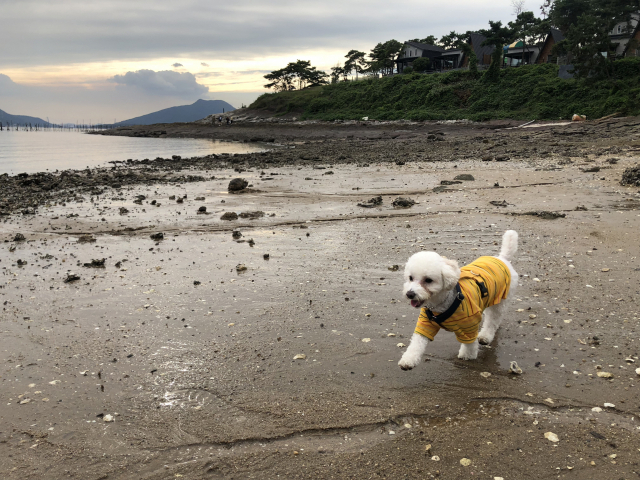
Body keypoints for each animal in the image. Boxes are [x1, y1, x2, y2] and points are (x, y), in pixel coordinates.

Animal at [398, 231, 516, 370]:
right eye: (411, 278)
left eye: (428, 280)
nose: (410, 294)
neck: (440, 305)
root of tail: (502, 258)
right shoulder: (425, 324)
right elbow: (417, 342)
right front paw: (408, 359)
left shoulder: (469, 325)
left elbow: (469, 343)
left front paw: (467, 355)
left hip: (501, 300)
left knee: (493, 319)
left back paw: (485, 336)